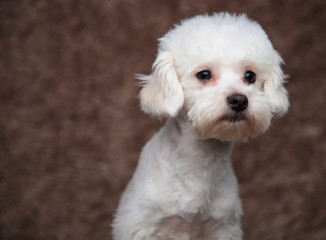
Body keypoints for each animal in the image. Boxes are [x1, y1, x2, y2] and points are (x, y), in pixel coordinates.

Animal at [111, 13, 288, 240]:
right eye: (204, 74)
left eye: (250, 76)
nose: (239, 100)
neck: (200, 163)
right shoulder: (139, 225)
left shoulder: (223, 227)